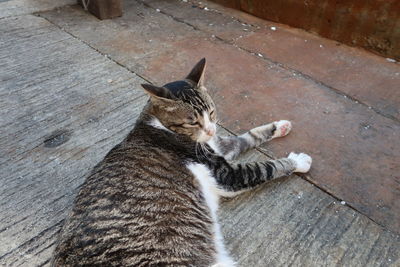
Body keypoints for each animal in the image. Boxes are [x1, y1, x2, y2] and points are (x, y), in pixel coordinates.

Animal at [50, 59, 312, 267]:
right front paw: (297, 161)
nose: (211, 129)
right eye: (192, 122)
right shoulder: (226, 174)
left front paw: (278, 127)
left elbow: (247, 137)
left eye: (212, 112)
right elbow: (265, 167)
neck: (157, 123)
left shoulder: (219, 145)